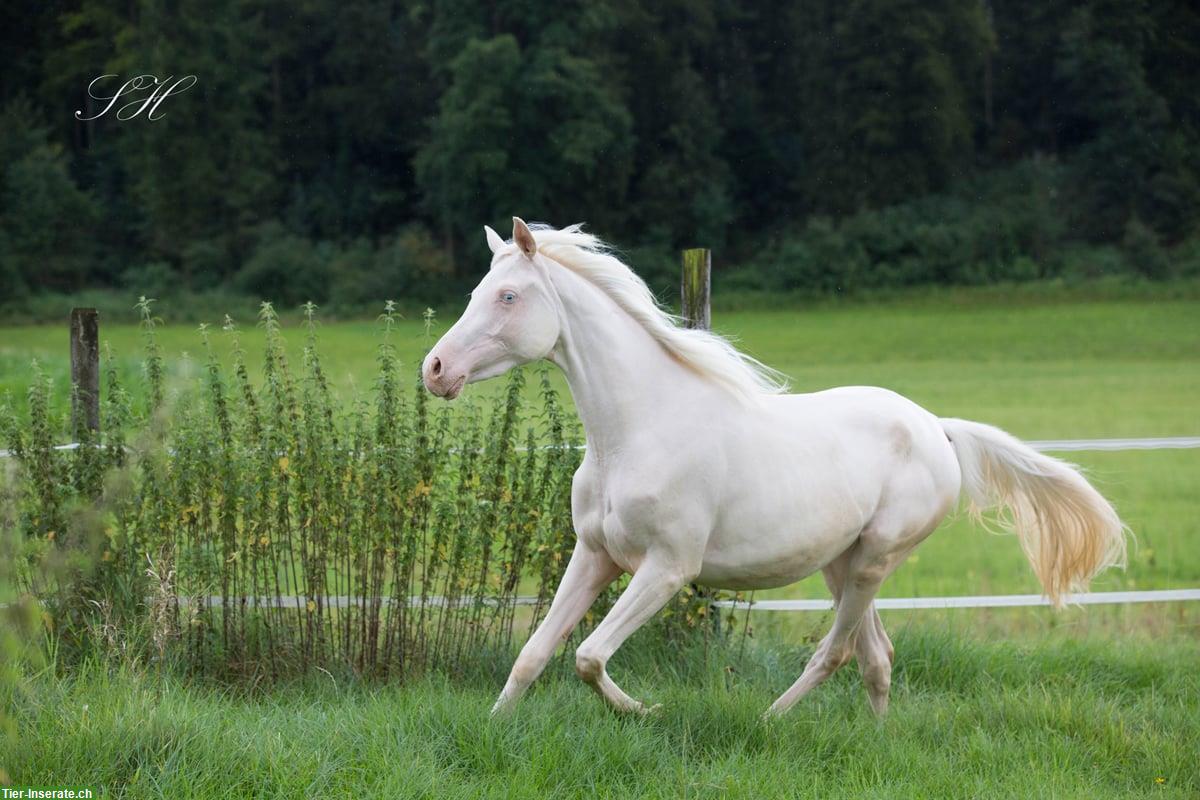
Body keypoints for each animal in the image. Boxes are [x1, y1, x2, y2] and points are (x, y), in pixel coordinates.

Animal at [422, 219, 1123, 719]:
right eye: (476, 293)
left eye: (508, 296)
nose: (435, 370)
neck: (637, 430)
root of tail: (937, 428)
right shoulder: (595, 555)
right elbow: (534, 653)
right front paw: (495, 728)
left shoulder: (668, 568)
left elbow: (589, 657)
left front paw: (646, 710)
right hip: (844, 563)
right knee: (877, 656)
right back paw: (876, 739)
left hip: (874, 561)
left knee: (836, 652)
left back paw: (769, 721)